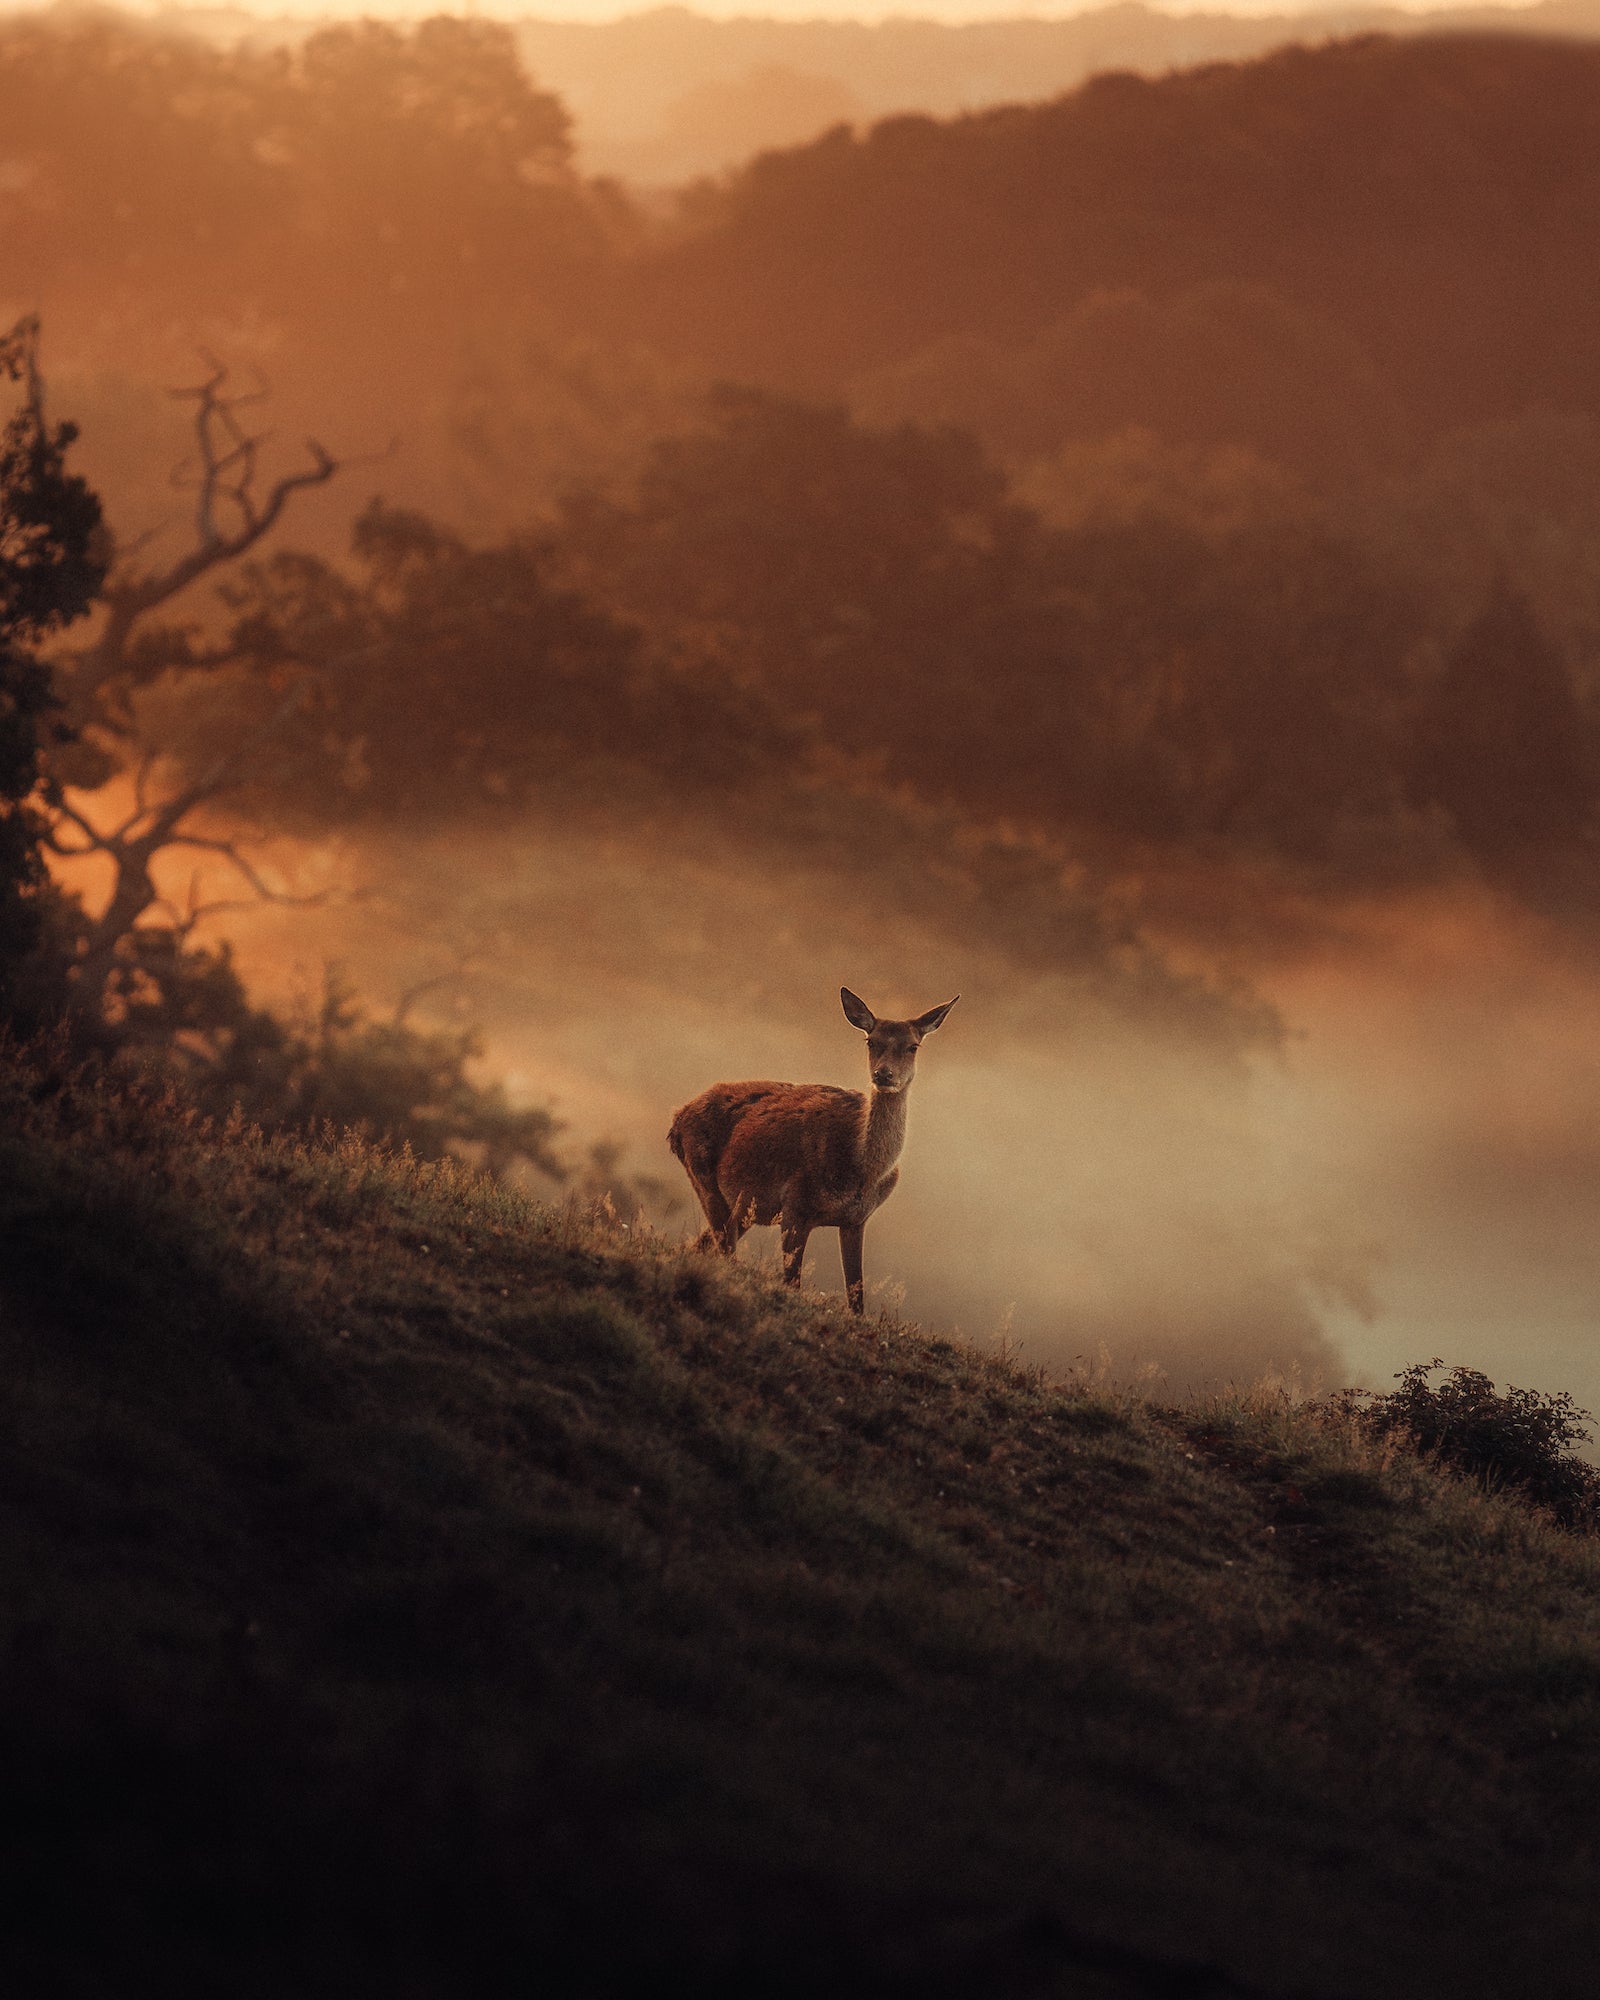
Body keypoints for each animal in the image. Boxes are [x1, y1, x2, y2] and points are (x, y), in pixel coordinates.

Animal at [667, 988, 958, 1314]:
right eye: (871, 1041)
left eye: (912, 1046)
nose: (884, 1074)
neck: (861, 1172)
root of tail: (677, 1119)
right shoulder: (795, 1205)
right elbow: (792, 1284)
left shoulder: (857, 1220)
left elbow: (856, 1296)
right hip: (703, 1176)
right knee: (722, 1248)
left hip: (744, 1207)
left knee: (702, 1245)